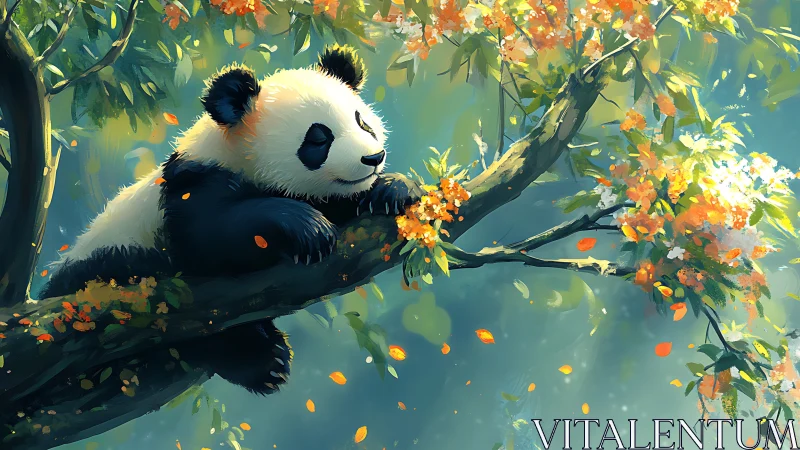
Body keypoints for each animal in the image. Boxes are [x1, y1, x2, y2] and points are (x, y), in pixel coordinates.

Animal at [39, 45, 424, 394]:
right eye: (318, 138)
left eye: (363, 122)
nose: (373, 158)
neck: (236, 151)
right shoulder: (191, 185)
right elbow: (210, 235)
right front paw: (307, 227)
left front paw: (393, 189)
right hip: (111, 271)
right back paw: (263, 361)